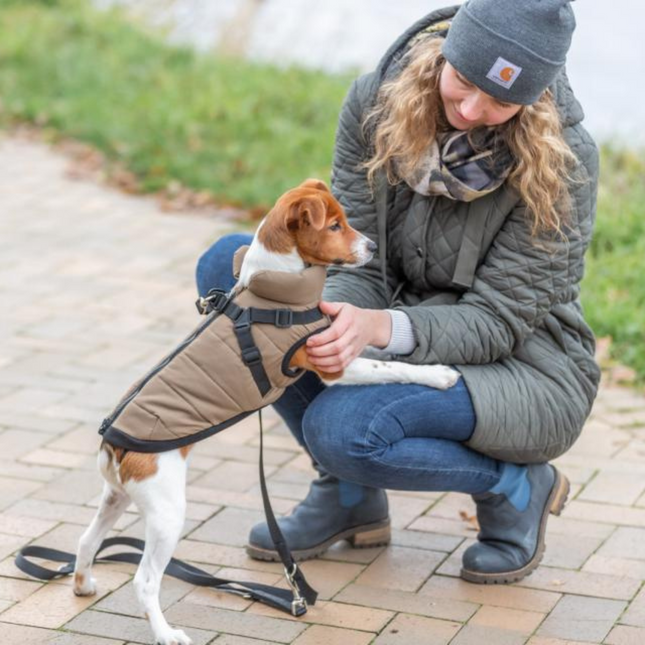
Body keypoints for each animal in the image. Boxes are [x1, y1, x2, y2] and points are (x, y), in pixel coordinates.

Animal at [73, 177, 460, 644]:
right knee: (144, 580)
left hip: (116, 497)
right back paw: (166, 633)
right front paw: (439, 374)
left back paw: (83, 584)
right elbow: (391, 368)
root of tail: (113, 443)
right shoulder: (333, 364)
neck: (274, 286)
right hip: (167, 512)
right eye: (334, 226)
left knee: (86, 541)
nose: (371, 247)